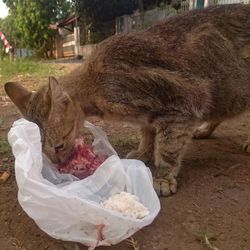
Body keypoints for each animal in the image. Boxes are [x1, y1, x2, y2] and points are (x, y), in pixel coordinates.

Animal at [4, 3, 250, 195]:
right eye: (43, 152)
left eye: (59, 145)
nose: (57, 163)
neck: (94, 88)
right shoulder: (150, 114)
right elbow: (147, 133)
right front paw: (143, 152)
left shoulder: (184, 101)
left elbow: (168, 148)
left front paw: (162, 176)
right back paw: (205, 129)